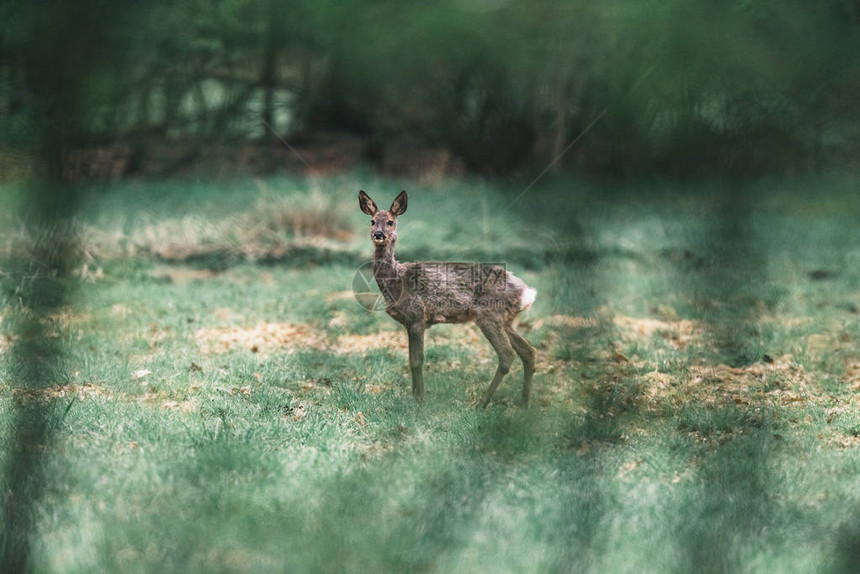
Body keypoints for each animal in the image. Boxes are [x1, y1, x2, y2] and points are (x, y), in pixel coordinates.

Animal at [358, 191, 536, 408]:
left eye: (391, 222)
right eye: (372, 221)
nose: (378, 234)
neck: (396, 282)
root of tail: (526, 293)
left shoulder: (417, 317)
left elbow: (417, 361)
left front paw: (420, 400)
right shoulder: (408, 322)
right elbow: (410, 360)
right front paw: (414, 397)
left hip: (488, 315)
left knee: (507, 355)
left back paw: (482, 404)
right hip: (506, 320)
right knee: (528, 351)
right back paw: (524, 405)